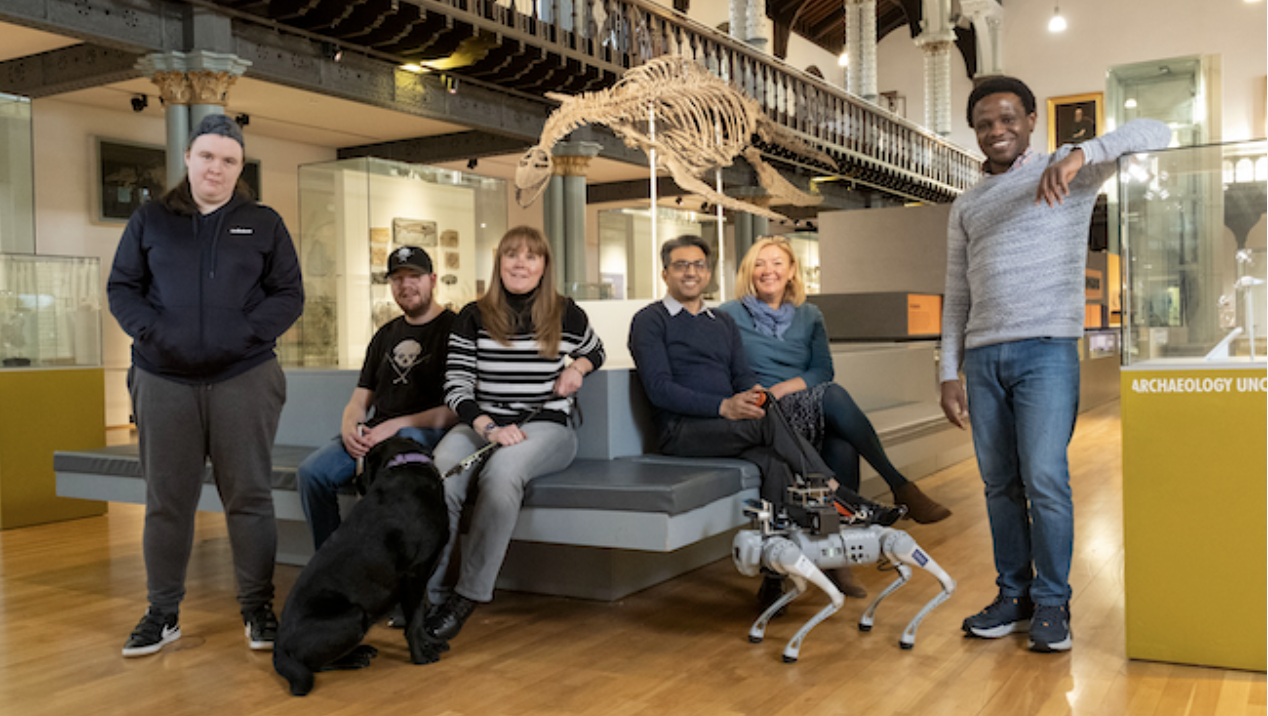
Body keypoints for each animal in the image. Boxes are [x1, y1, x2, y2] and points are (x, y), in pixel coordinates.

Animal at [276, 435, 451, 694]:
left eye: (366, 464)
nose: (356, 480)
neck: (405, 463)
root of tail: (279, 645)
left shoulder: (420, 577)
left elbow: (420, 613)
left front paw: (430, 644)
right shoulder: (413, 575)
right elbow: (414, 621)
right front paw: (420, 655)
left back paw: (361, 651)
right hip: (355, 615)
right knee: (314, 665)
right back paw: (355, 657)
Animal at [730, 476, 953, 664]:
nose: (738, 550)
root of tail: (883, 530)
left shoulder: (789, 555)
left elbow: (836, 597)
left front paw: (792, 649)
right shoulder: (792, 564)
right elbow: (800, 589)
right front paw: (758, 630)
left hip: (896, 543)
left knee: (947, 582)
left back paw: (908, 635)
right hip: (889, 549)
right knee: (906, 574)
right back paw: (868, 619)